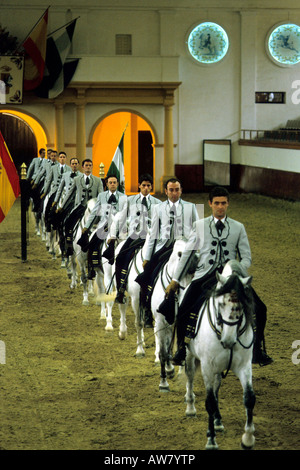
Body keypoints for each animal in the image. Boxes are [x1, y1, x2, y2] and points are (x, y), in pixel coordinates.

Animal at [185, 260, 255, 452]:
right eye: (221, 304)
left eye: (242, 306)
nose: (229, 341)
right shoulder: (207, 367)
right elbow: (209, 401)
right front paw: (211, 440)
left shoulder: (244, 366)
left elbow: (249, 398)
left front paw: (247, 439)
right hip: (189, 354)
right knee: (190, 376)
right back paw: (190, 407)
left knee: (217, 386)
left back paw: (217, 420)